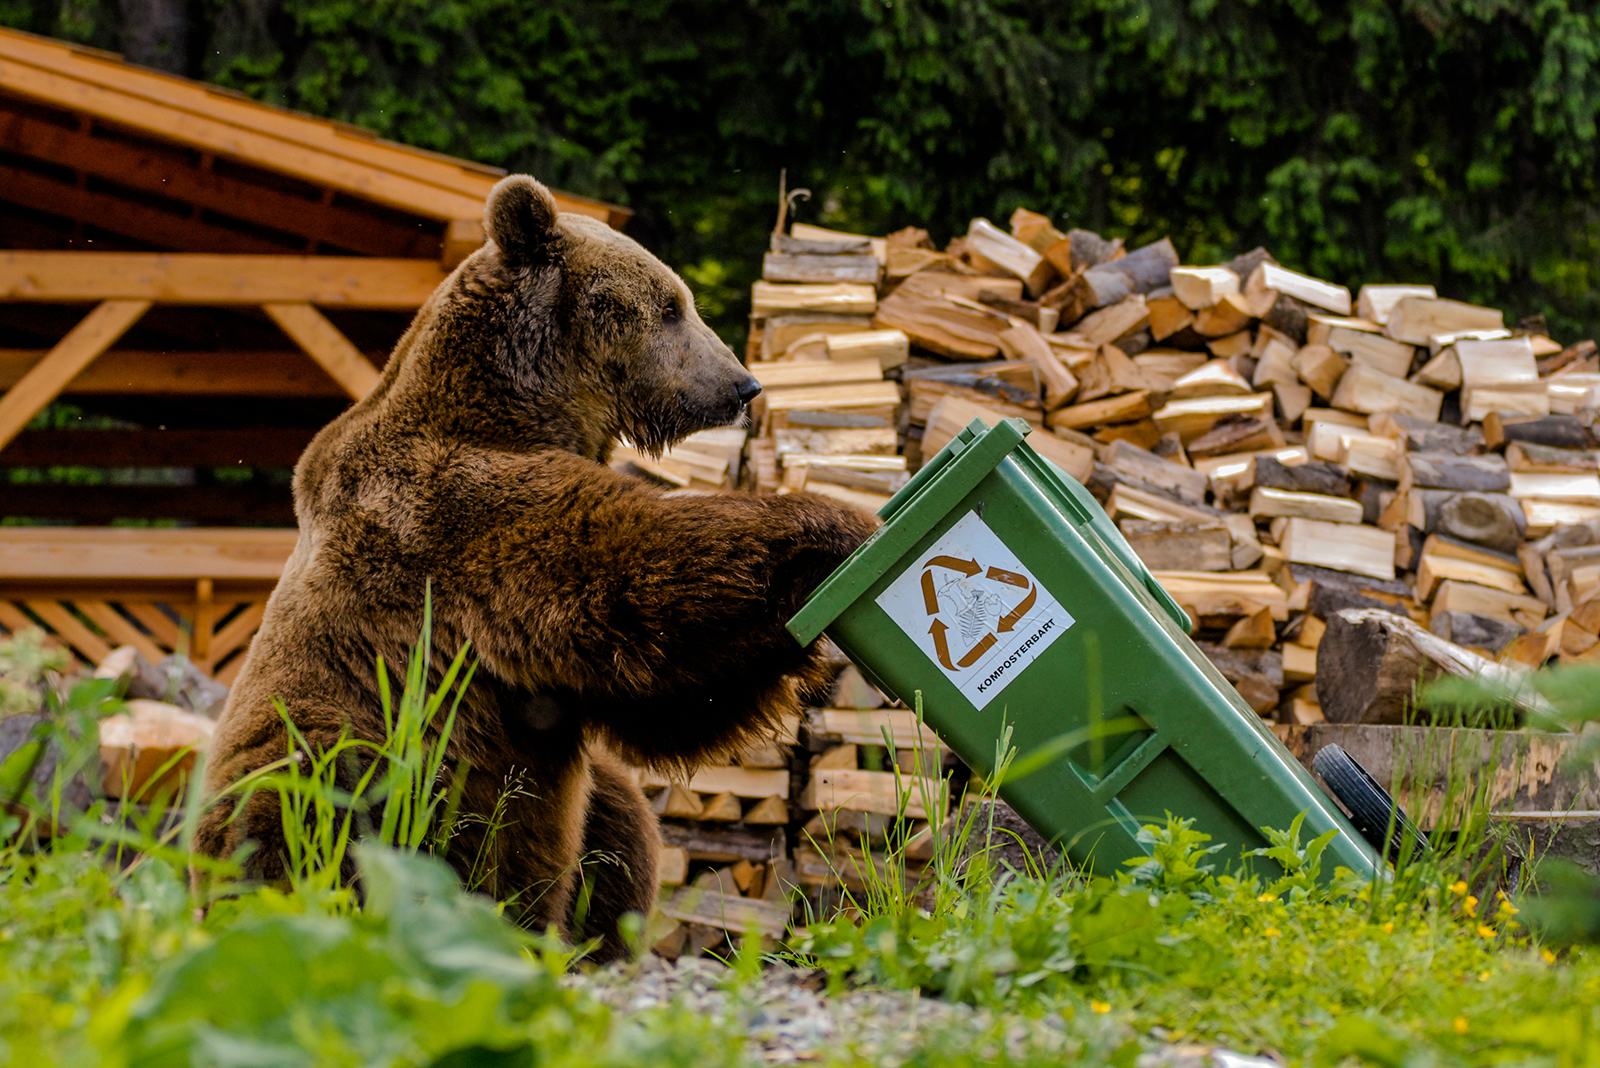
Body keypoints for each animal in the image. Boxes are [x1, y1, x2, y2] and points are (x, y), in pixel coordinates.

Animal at [193, 175, 883, 959]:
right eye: (671, 306)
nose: (742, 386)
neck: (523, 405)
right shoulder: (460, 519)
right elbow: (633, 577)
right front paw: (838, 524)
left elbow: (668, 699)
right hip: (347, 752)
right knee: (305, 813)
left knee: (617, 821)